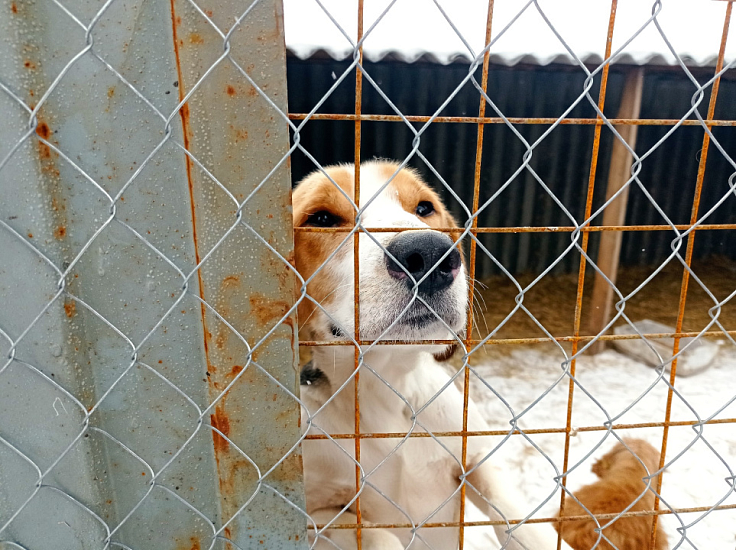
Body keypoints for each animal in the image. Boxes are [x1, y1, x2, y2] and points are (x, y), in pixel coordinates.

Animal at [290, 162, 572, 548]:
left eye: (424, 208)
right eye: (321, 218)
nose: (427, 252)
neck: (386, 388)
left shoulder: (478, 458)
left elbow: (521, 521)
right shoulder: (313, 518)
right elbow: (378, 536)